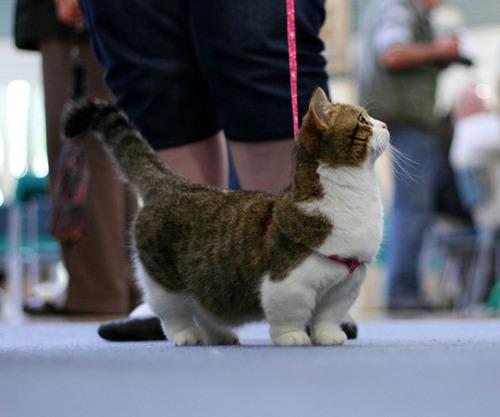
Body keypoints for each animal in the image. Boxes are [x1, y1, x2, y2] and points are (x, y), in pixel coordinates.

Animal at [64, 88, 388, 344]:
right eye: (362, 120)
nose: (385, 124)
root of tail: (173, 183)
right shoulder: (287, 284)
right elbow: (290, 316)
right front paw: (293, 337)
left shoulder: (344, 286)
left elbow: (327, 317)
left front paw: (328, 336)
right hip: (162, 282)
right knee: (174, 314)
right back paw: (187, 336)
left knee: (203, 308)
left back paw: (220, 335)